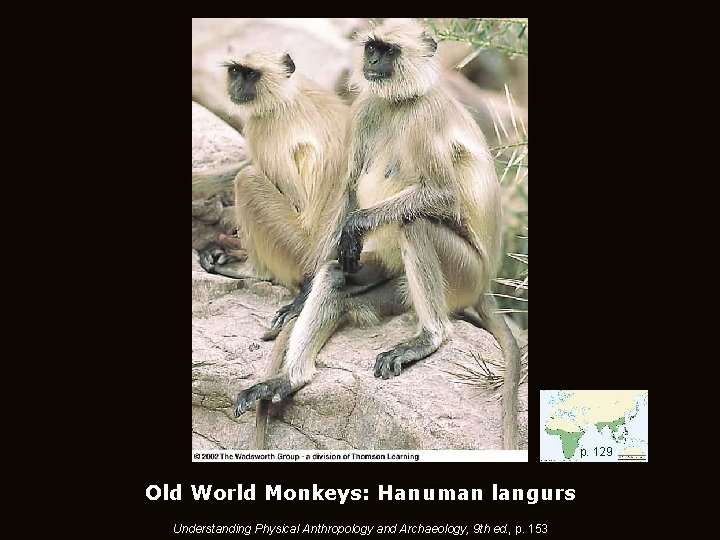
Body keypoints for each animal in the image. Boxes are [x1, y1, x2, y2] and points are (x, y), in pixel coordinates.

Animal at [197, 51, 350, 340]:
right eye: (236, 71)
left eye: (251, 74)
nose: (238, 87)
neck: (285, 94)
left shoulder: (263, 127)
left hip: (296, 249)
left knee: (247, 179)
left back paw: (249, 270)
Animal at [234, 19, 521, 450]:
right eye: (371, 48)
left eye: (388, 50)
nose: (370, 61)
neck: (400, 102)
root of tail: (485, 285)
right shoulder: (366, 108)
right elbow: (349, 190)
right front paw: (302, 297)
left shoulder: (426, 115)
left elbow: (443, 195)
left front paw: (356, 225)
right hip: (397, 283)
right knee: (337, 275)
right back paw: (287, 379)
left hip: (464, 275)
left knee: (413, 223)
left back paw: (429, 338)